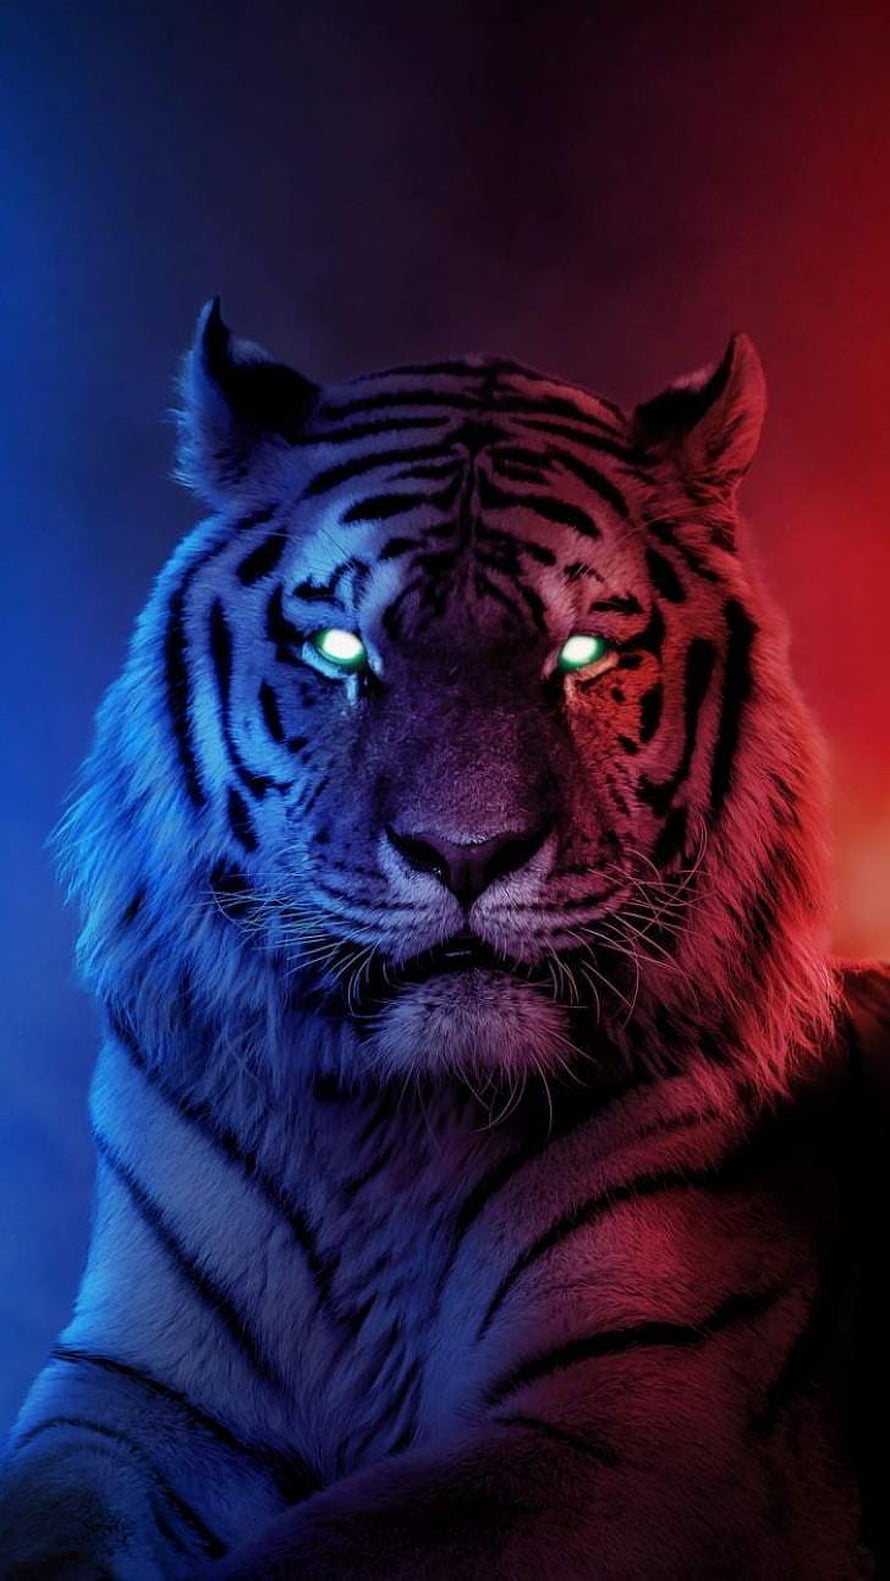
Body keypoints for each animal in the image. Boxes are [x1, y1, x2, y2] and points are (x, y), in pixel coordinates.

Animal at [1, 296, 888, 1580]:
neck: (394, 1127)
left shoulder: (633, 1423)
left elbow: (322, 1552)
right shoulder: (136, 1395)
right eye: (340, 651)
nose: (464, 854)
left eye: (580, 656)